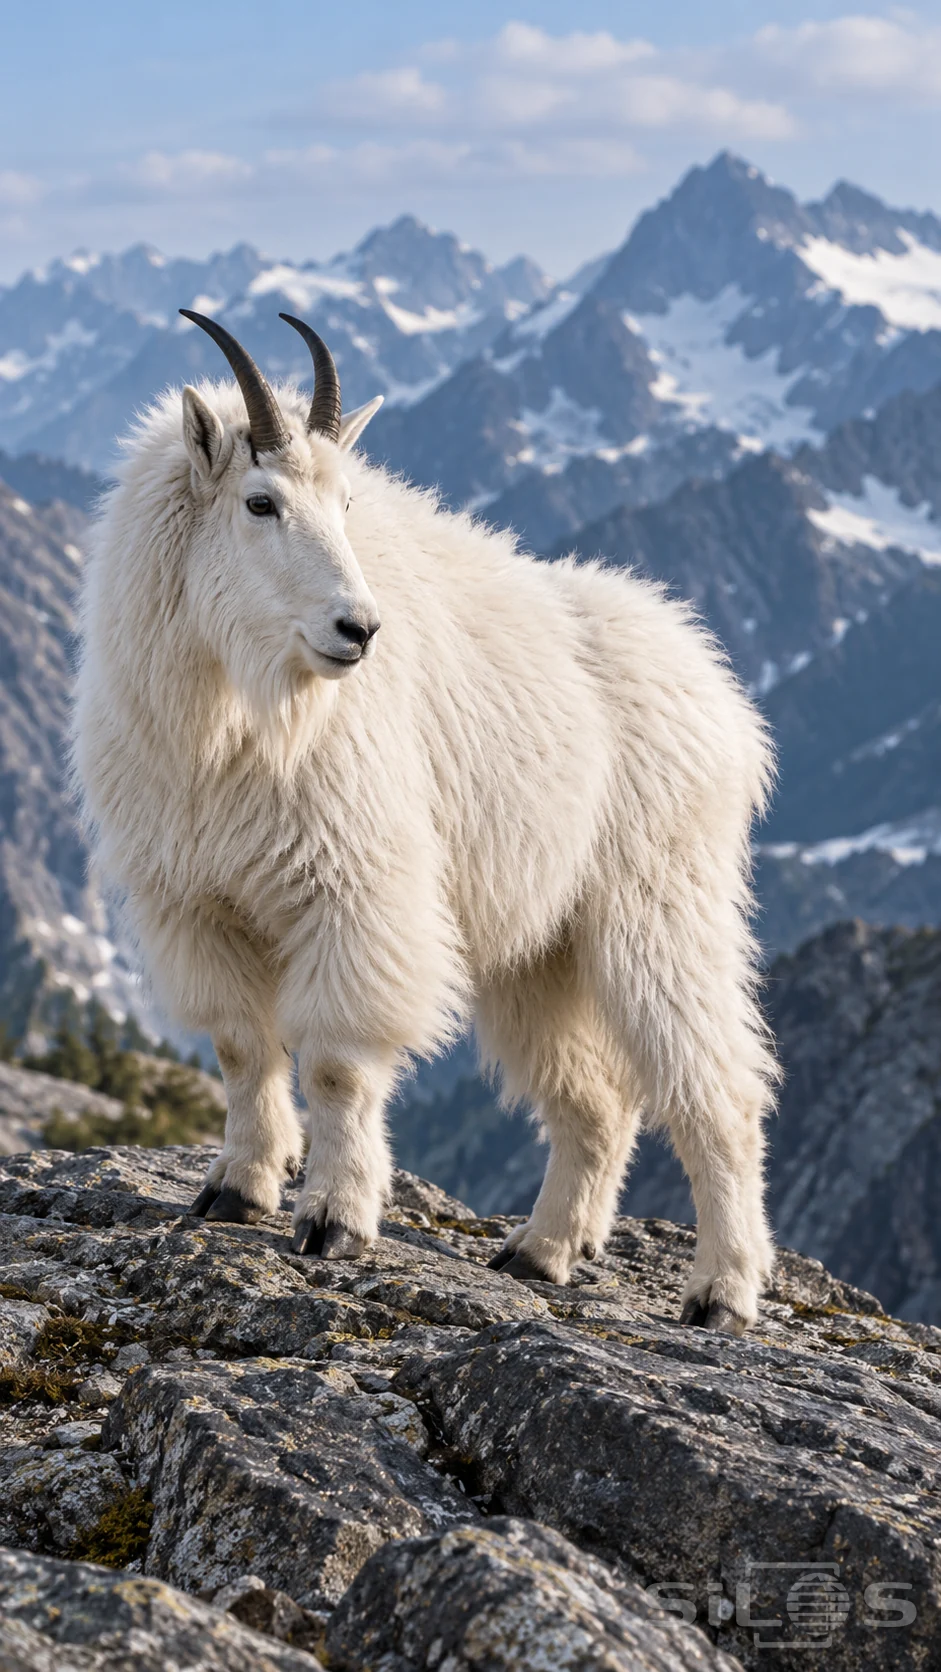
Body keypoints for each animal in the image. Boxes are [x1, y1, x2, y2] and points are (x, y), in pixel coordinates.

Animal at [73, 309, 777, 1332]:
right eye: (259, 502)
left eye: (348, 503)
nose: (357, 630)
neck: (231, 715)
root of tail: (721, 696)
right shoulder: (196, 901)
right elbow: (242, 1043)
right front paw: (236, 1190)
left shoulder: (354, 890)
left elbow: (337, 1063)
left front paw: (334, 1220)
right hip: (542, 953)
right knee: (594, 1099)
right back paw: (540, 1251)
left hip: (658, 907)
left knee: (715, 1086)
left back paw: (723, 1290)